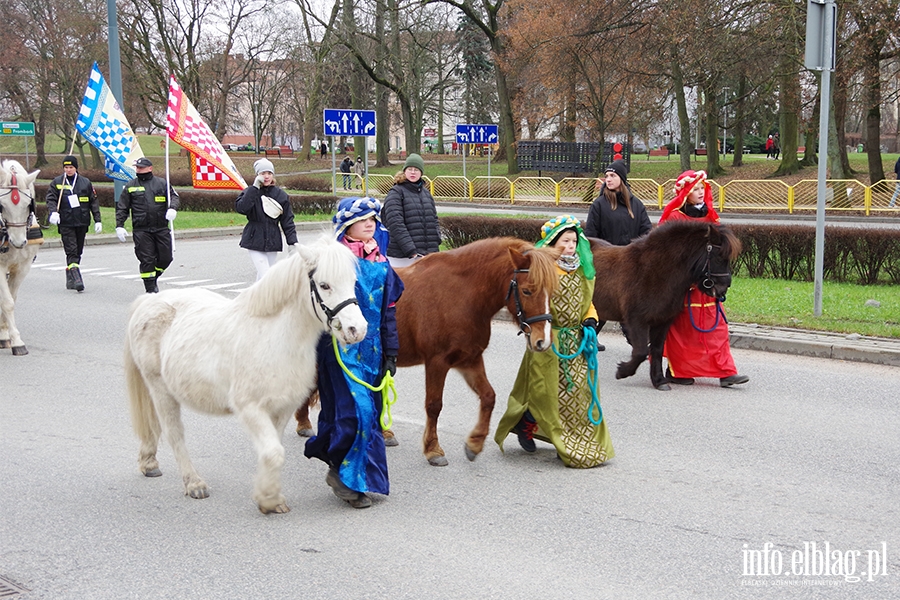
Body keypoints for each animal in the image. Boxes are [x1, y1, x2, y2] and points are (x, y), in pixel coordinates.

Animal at [125, 237, 368, 512]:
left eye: (353, 282)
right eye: (325, 285)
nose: (357, 329)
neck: (273, 336)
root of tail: (148, 301)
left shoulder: (282, 408)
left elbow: (273, 449)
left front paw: (270, 497)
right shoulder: (250, 408)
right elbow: (273, 452)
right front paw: (268, 498)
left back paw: (149, 462)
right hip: (160, 389)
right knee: (174, 433)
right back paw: (194, 483)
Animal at [298, 239, 560, 468]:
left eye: (552, 291)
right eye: (527, 291)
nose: (542, 341)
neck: (463, 293)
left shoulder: (469, 359)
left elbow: (489, 397)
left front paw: (474, 444)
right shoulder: (437, 362)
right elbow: (434, 405)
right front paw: (433, 449)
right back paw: (303, 422)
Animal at [592, 220, 740, 390]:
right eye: (719, 257)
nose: (723, 289)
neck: (654, 270)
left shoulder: (663, 321)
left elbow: (656, 350)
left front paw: (659, 380)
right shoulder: (636, 320)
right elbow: (641, 351)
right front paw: (622, 371)